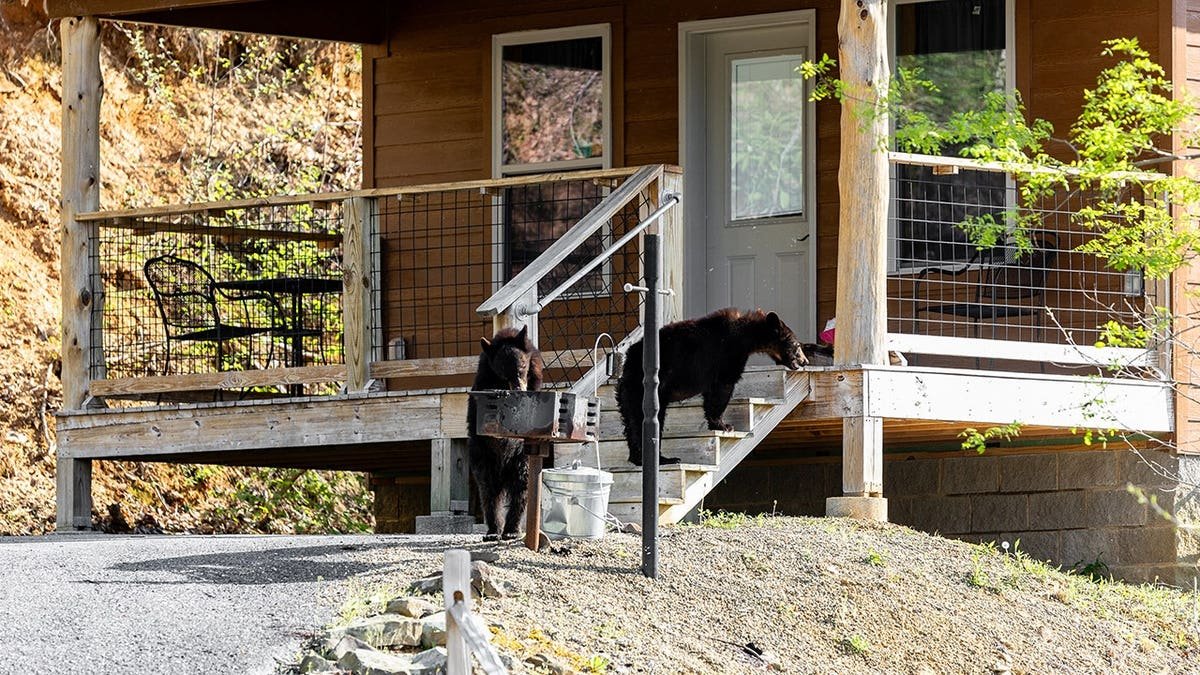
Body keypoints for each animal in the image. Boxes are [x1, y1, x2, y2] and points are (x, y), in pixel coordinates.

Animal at [466, 325, 544, 540]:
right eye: (502, 372)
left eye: (523, 366)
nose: (518, 389)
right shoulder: (482, 384)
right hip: (483, 457)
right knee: (488, 491)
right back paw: (494, 530)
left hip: (521, 459)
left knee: (522, 489)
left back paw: (512, 529)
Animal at [616, 308, 807, 467]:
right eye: (797, 345)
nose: (805, 361)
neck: (745, 336)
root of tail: (627, 364)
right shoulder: (726, 355)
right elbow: (722, 387)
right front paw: (724, 425)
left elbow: (711, 394)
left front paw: (716, 423)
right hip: (645, 390)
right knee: (646, 420)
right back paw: (663, 459)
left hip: (628, 394)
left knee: (631, 423)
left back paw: (638, 458)